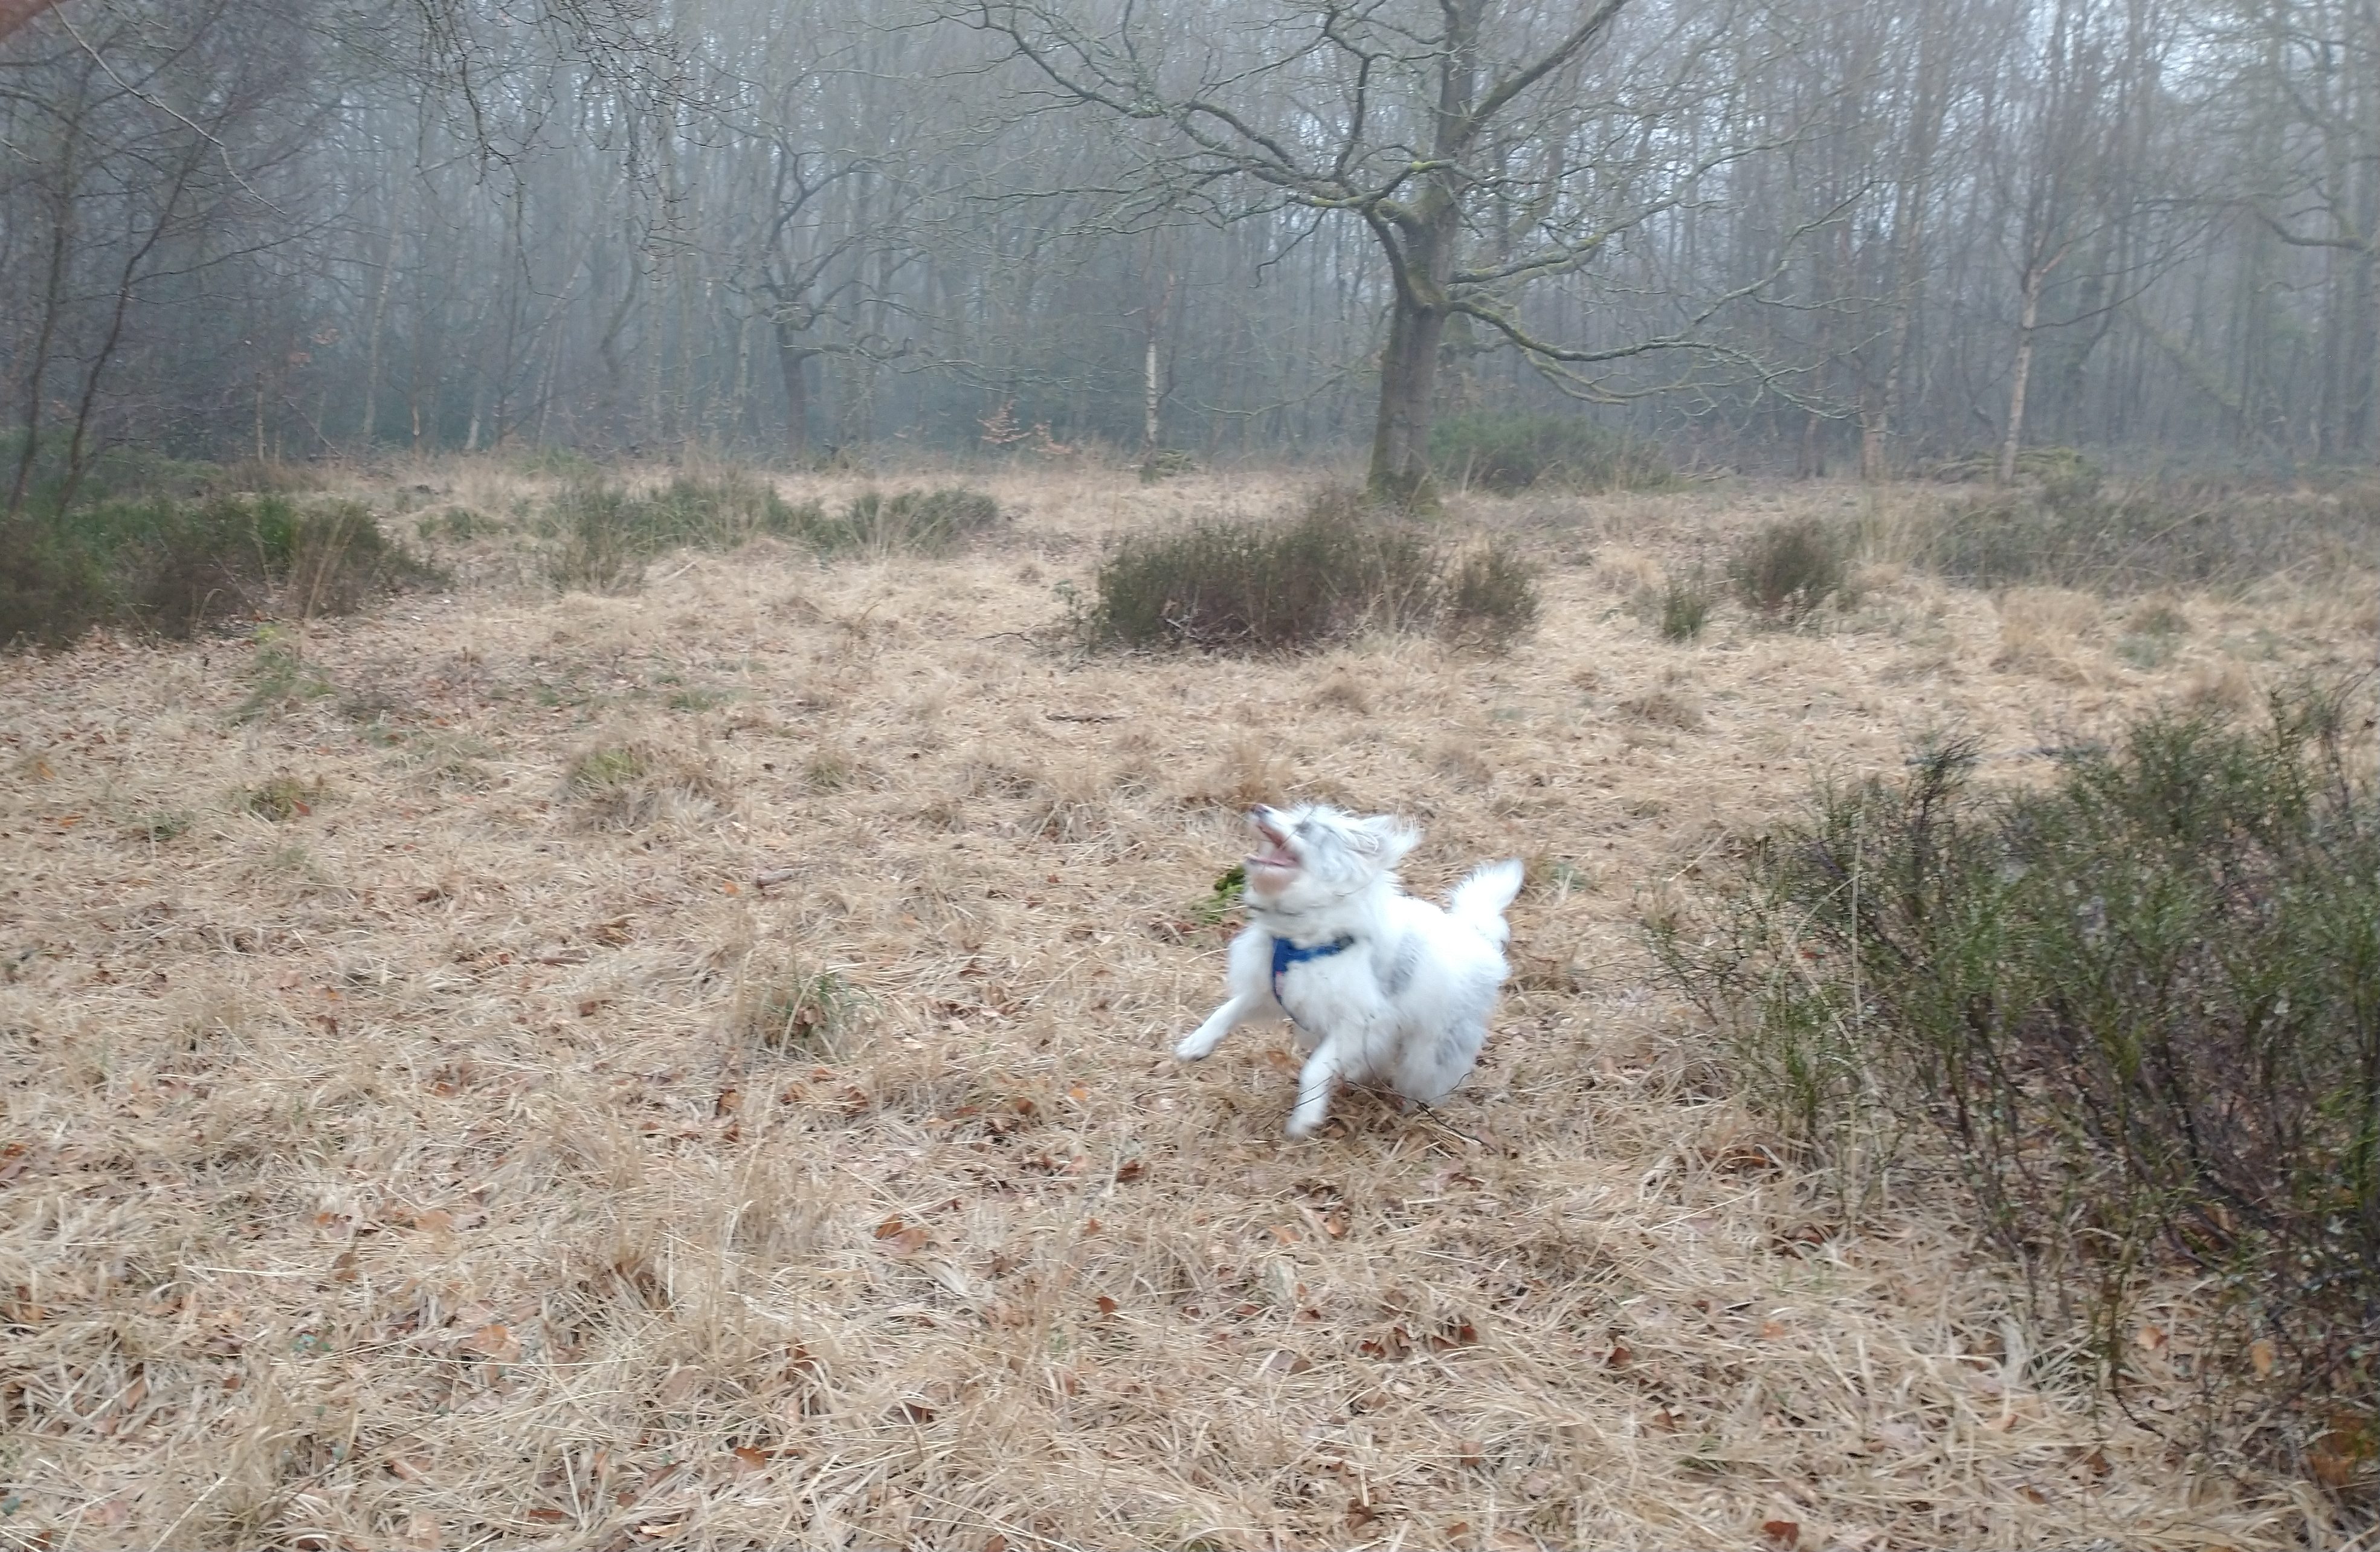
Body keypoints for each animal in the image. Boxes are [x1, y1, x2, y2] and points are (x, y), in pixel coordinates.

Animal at [1175, 804, 1524, 1138]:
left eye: (1304, 828)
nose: (1259, 808)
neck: (1303, 939)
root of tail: (1476, 935)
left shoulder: (1357, 1025)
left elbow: (1314, 1070)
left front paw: (1305, 1119)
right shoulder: (1270, 992)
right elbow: (1227, 1011)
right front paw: (1195, 1044)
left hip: (1432, 1049)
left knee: (1426, 1078)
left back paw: (1414, 1111)